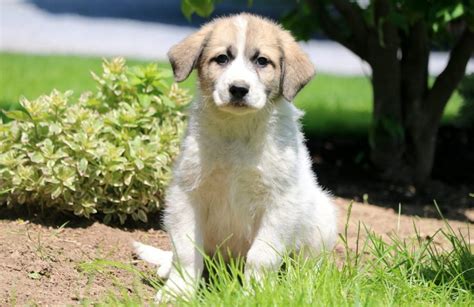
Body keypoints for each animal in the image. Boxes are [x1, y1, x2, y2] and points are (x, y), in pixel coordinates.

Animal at [134, 13, 336, 302]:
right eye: (222, 59)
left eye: (262, 61)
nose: (238, 89)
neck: (237, 128)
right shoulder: (187, 194)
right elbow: (186, 251)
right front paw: (178, 290)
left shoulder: (279, 201)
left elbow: (261, 255)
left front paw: (257, 293)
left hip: (323, 217)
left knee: (309, 262)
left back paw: (302, 280)